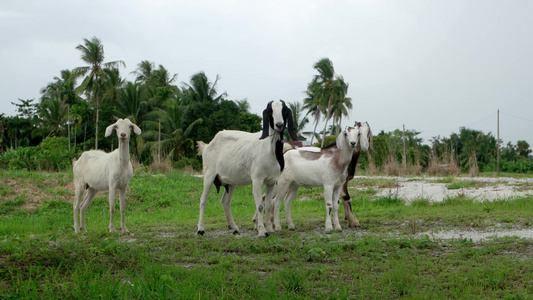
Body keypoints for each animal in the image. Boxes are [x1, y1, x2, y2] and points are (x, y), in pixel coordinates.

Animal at [195, 99, 298, 238]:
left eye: (284, 110)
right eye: (270, 111)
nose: (279, 125)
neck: (269, 149)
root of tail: (207, 146)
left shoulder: (271, 181)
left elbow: (268, 204)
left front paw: (269, 229)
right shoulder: (257, 179)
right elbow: (260, 205)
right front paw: (262, 232)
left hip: (231, 181)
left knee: (225, 202)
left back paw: (234, 228)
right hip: (209, 174)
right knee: (203, 200)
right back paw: (200, 229)